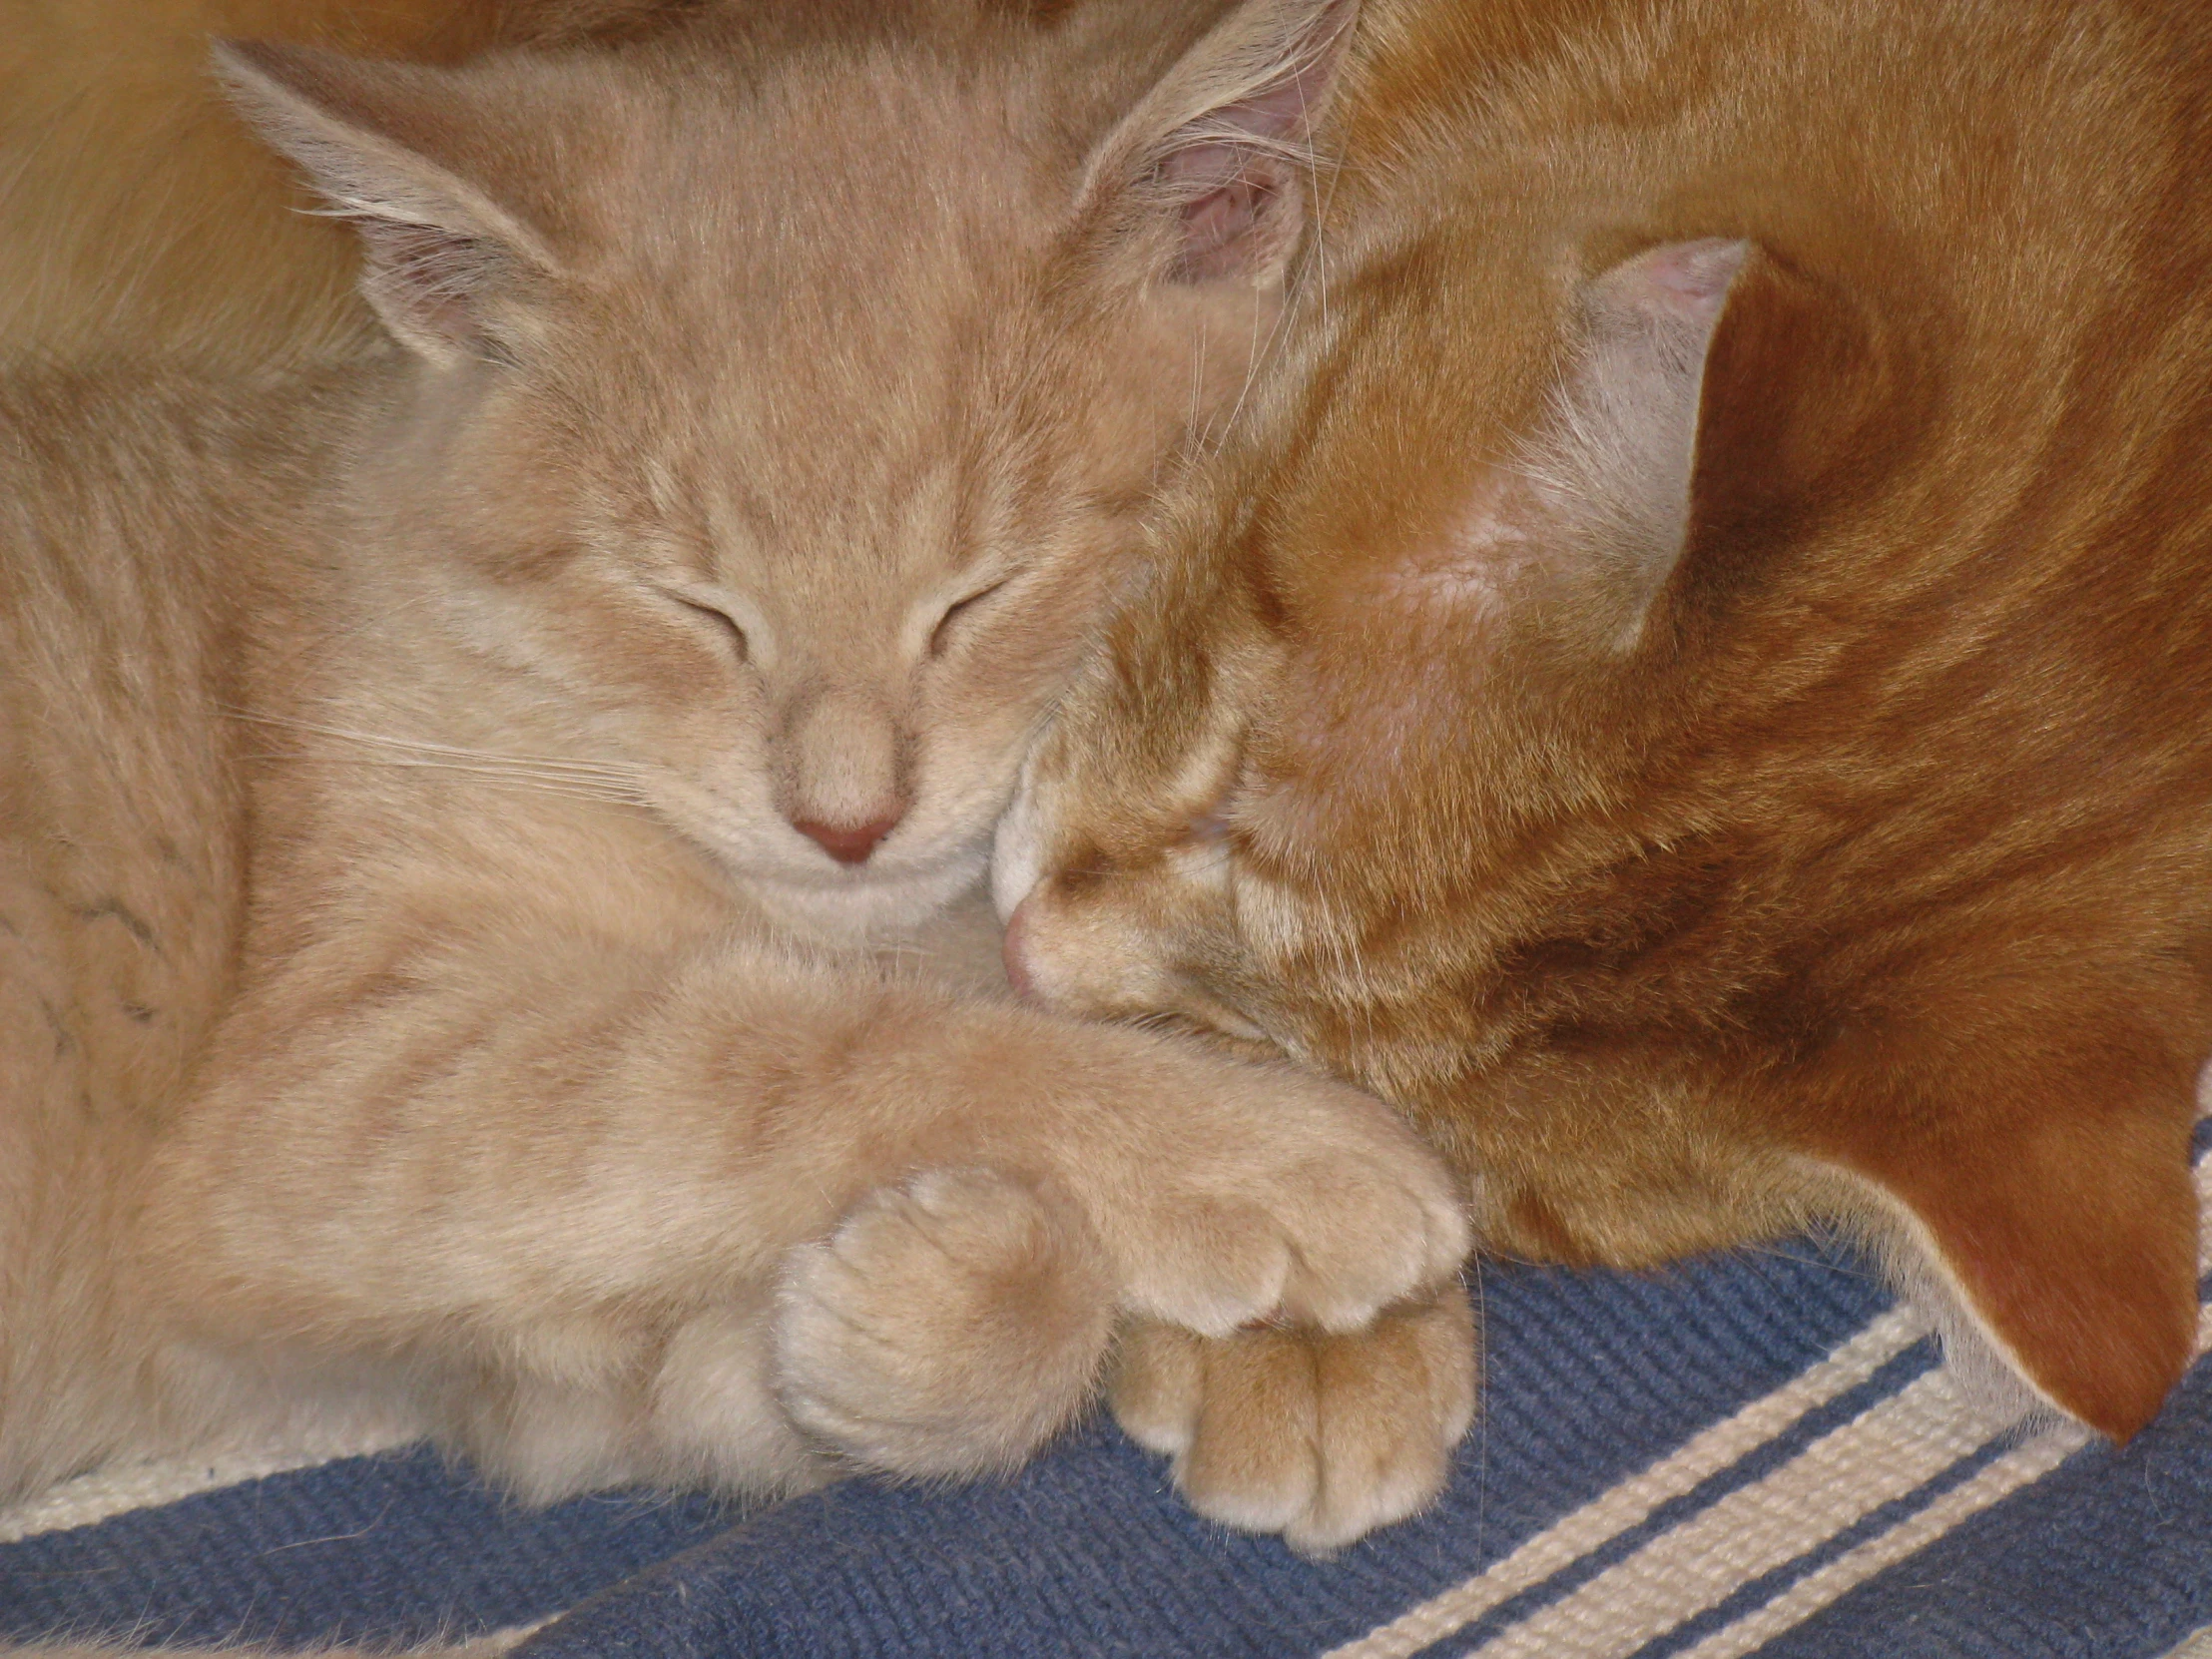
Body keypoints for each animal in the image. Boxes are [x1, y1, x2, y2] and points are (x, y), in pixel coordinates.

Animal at [8, 0, 1477, 1557]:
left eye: (977, 596)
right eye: (696, 609)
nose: (846, 818)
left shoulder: (526, 1380)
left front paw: (942, 1311)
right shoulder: (324, 1098)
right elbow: (805, 1055)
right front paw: (1259, 1156)